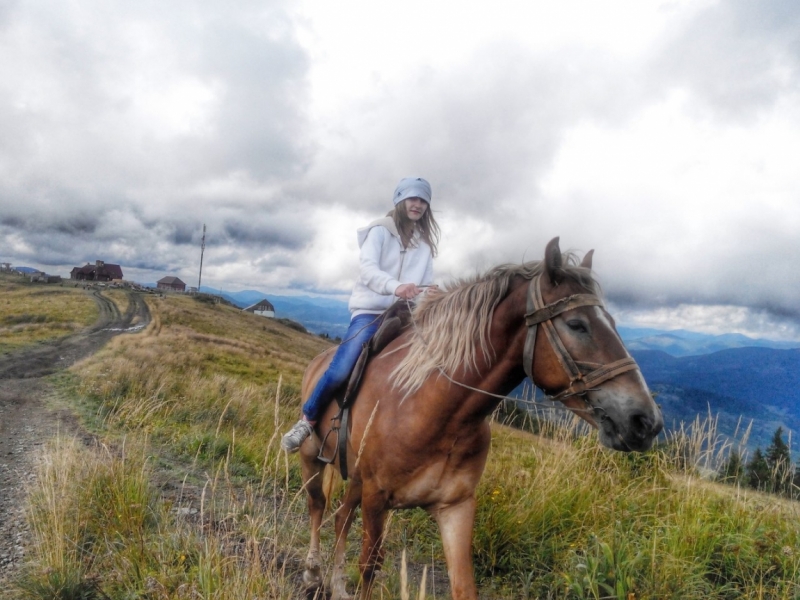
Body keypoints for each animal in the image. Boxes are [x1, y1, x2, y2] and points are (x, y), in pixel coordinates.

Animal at [296, 239, 660, 600]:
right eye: (577, 325)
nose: (645, 421)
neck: (434, 410)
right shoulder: (376, 498)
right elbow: (369, 567)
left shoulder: (455, 507)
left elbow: (464, 585)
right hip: (314, 458)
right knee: (318, 505)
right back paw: (313, 573)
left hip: (356, 476)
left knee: (341, 517)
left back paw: (336, 585)